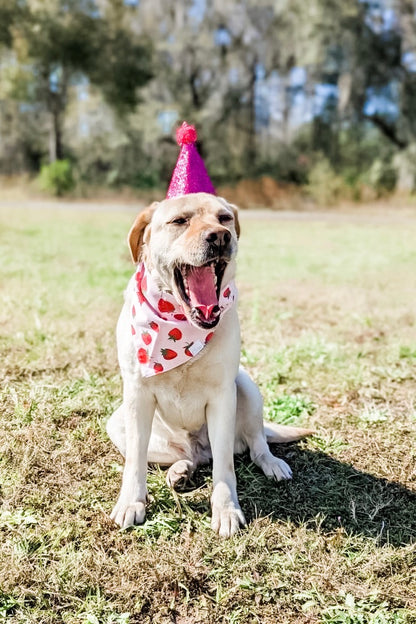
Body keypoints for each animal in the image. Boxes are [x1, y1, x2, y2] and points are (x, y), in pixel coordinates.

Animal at [105, 191, 310, 536]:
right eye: (179, 221)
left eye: (224, 218)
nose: (220, 236)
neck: (182, 325)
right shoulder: (136, 393)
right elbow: (135, 460)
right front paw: (131, 502)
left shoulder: (223, 396)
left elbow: (225, 469)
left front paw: (226, 509)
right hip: (117, 421)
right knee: (184, 457)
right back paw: (180, 470)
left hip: (246, 387)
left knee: (255, 442)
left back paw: (270, 462)